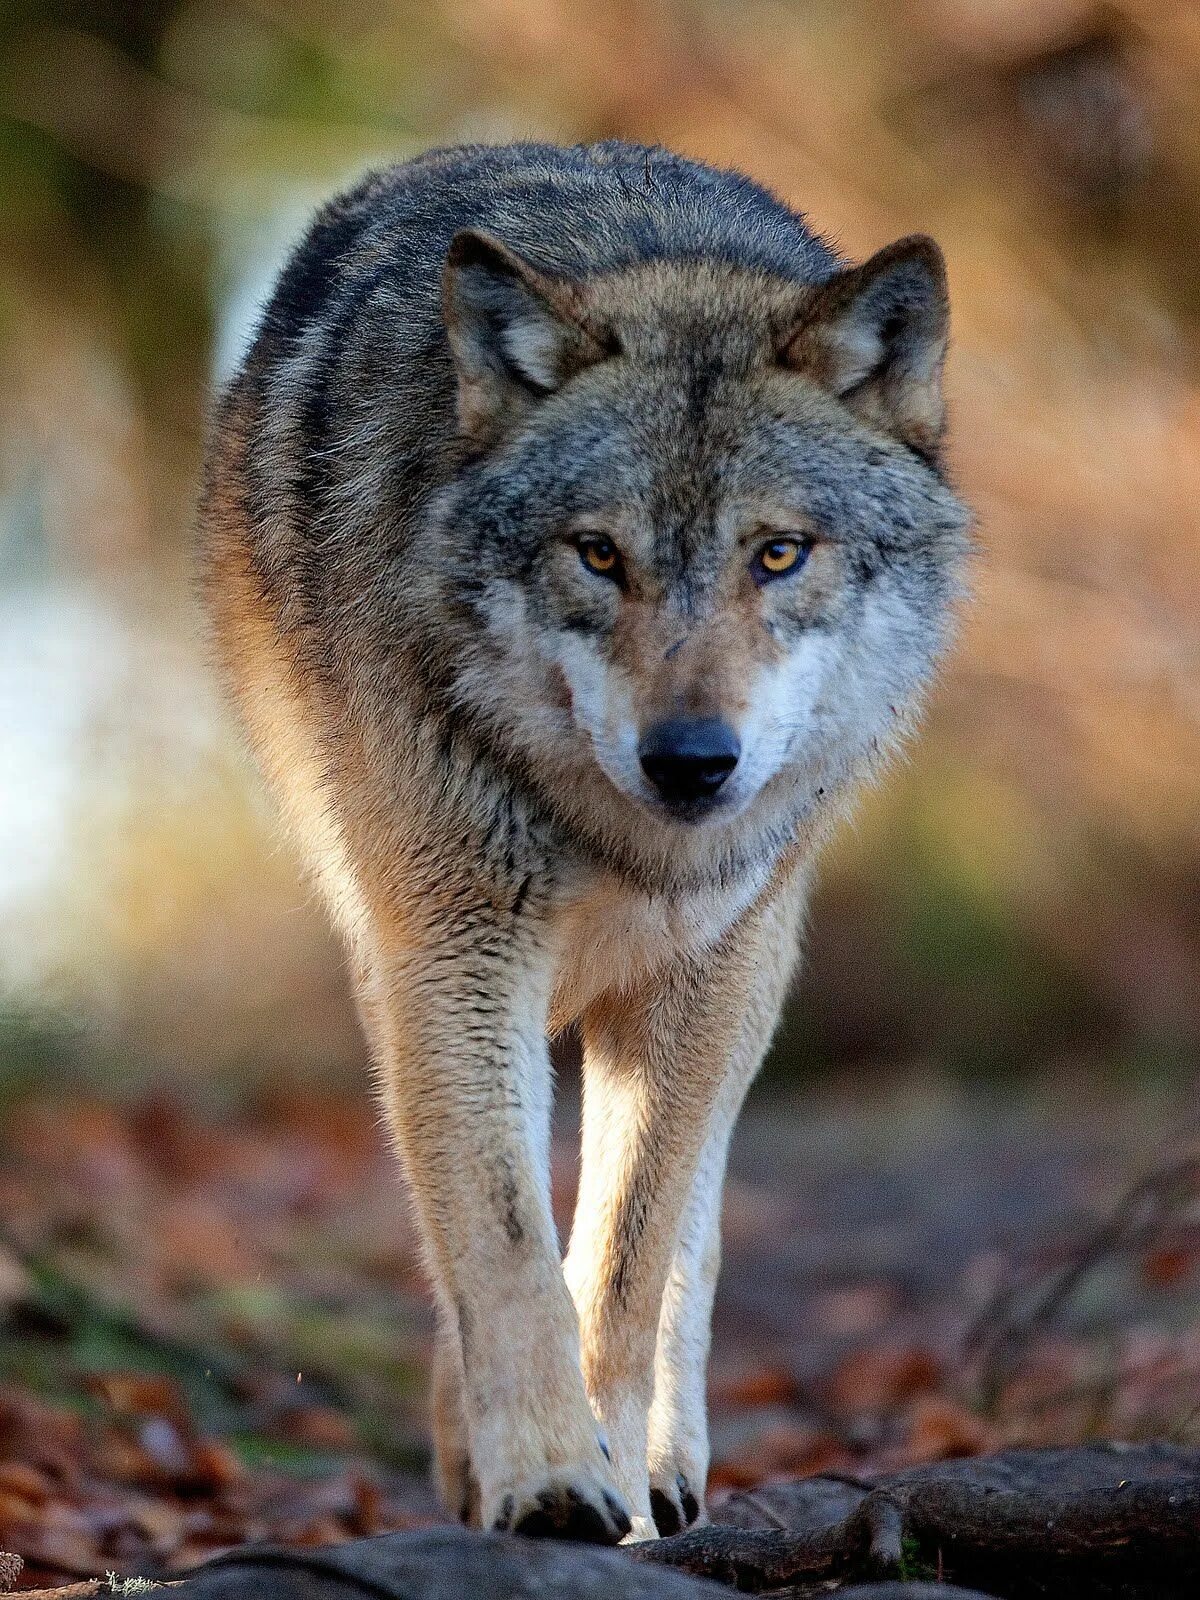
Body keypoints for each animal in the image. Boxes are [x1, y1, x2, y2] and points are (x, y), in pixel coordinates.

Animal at [195, 144, 966, 1542]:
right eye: (598, 554)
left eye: (780, 553)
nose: (691, 759)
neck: (617, 839)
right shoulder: (453, 953)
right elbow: (501, 1241)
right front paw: (548, 1477)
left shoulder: (700, 980)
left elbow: (623, 1259)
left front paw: (610, 1468)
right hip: (385, 942)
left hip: (744, 976)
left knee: (693, 1229)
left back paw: (663, 1462)